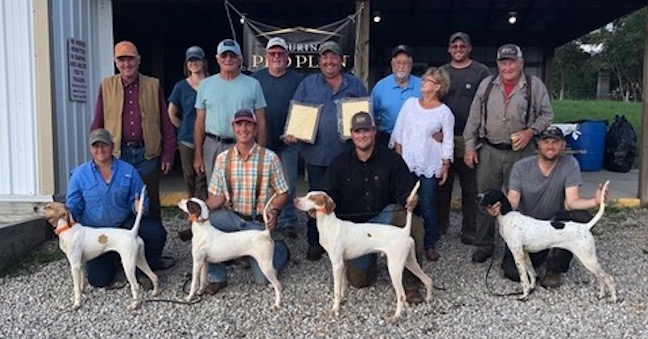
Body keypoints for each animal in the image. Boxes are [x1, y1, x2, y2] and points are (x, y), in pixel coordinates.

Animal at [294, 183, 430, 324]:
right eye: (307, 195)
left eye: (312, 198)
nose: (294, 200)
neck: (329, 225)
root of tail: (404, 231)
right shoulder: (343, 263)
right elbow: (342, 286)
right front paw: (342, 300)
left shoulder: (336, 264)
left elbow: (336, 290)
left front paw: (335, 309)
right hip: (409, 261)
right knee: (428, 280)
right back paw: (428, 299)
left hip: (395, 267)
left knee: (402, 295)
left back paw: (396, 317)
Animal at [476, 181, 616, 302]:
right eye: (485, 191)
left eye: (491, 194)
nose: (477, 197)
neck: (507, 216)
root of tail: (585, 226)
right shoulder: (524, 253)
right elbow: (532, 273)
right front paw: (531, 289)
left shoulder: (518, 254)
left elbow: (523, 279)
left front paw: (525, 295)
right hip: (587, 259)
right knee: (600, 278)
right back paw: (601, 295)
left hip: (588, 259)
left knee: (608, 278)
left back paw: (613, 298)